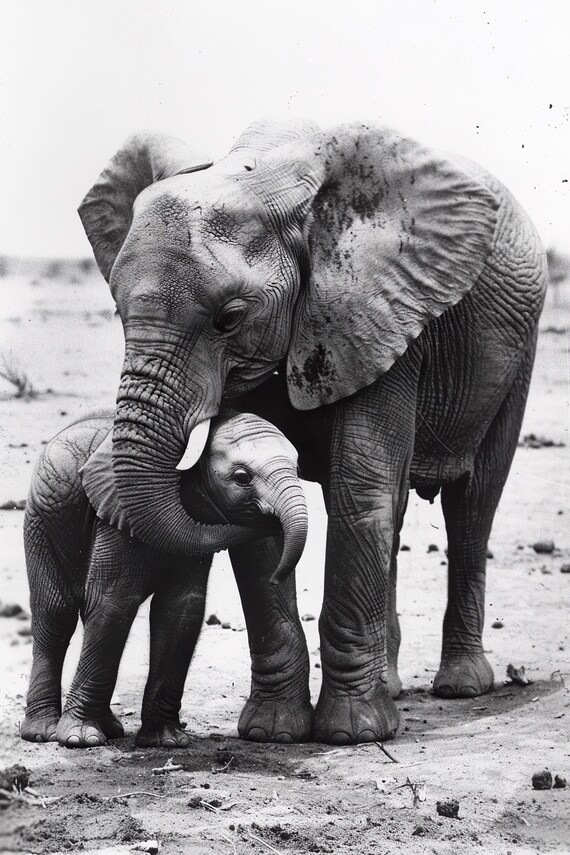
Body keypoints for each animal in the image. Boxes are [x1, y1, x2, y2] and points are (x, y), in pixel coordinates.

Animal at [22, 408, 307, 747]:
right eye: (242, 478)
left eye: (298, 468)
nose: (276, 577)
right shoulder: (117, 517)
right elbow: (111, 603)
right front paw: (81, 739)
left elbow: (181, 609)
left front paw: (166, 741)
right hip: (40, 520)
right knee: (55, 612)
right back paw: (43, 732)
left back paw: (111, 729)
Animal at [78, 119, 547, 744]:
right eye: (118, 312)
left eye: (229, 318)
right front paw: (273, 733)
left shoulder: (381, 314)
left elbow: (358, 492)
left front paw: (353, 734)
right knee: (401, 508)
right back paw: (393, 687)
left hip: (517, 353)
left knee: (473, 503)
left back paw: (462, 687)